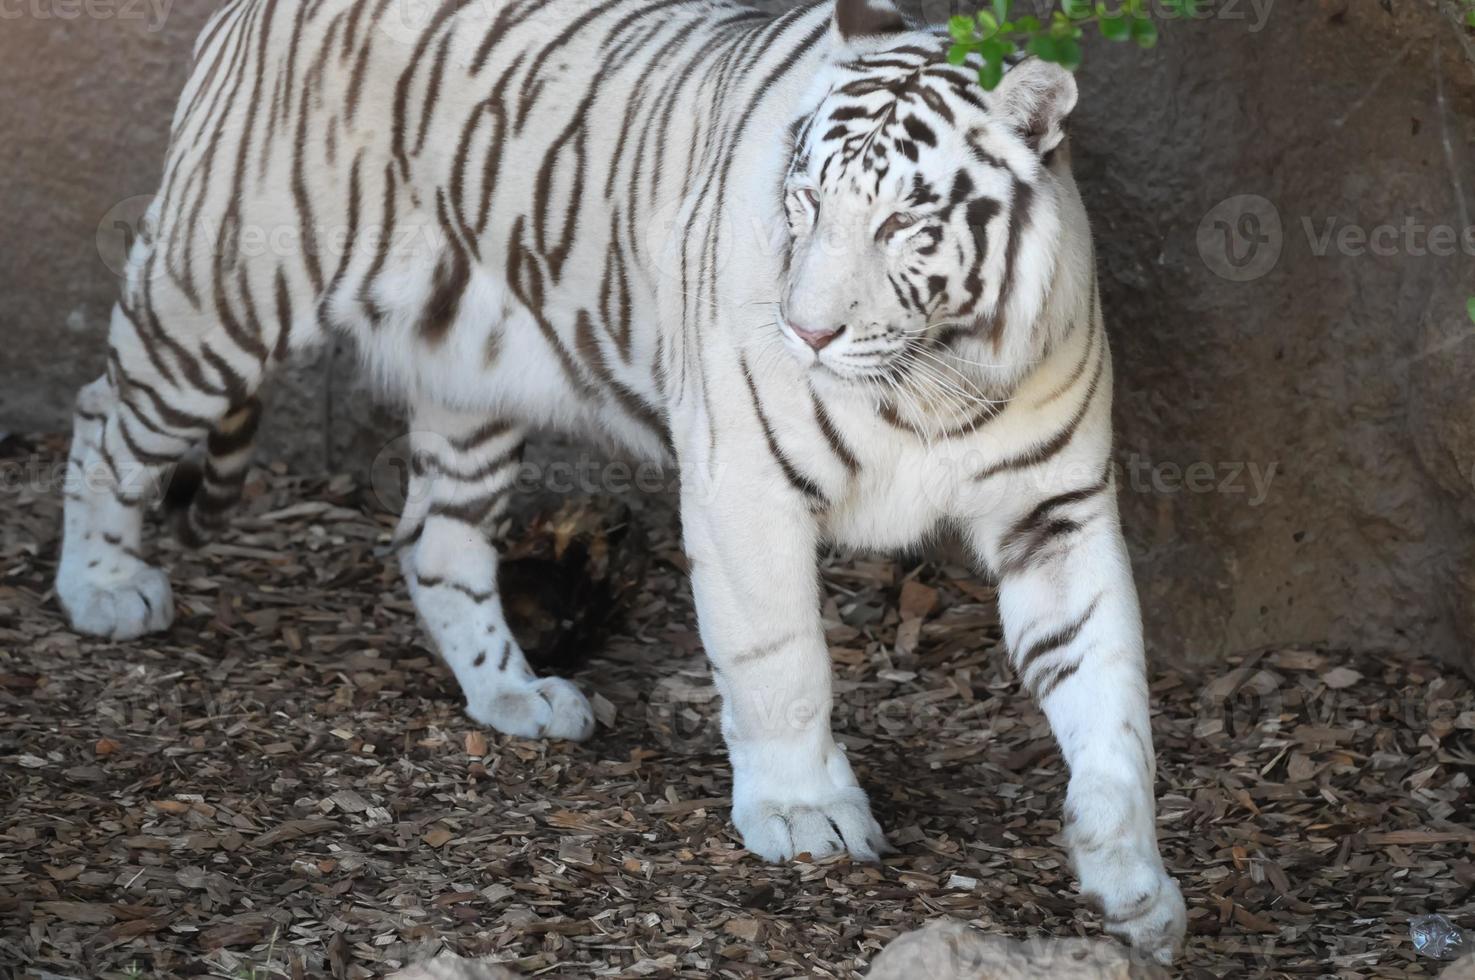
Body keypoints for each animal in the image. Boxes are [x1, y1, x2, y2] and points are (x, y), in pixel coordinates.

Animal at [54, 0, 1185, 956]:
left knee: (433, 539)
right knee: (102, 416)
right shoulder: (744, 489)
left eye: (904, 223)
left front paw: (1131, 880)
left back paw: (514, 694)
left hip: (466, 377)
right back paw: (102, 588)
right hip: (220, 296)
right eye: (805, 201)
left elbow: (1110, 694)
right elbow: (781, 665)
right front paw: (802, 814)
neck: (928, 379)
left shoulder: (1057, 512)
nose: (806, 331)